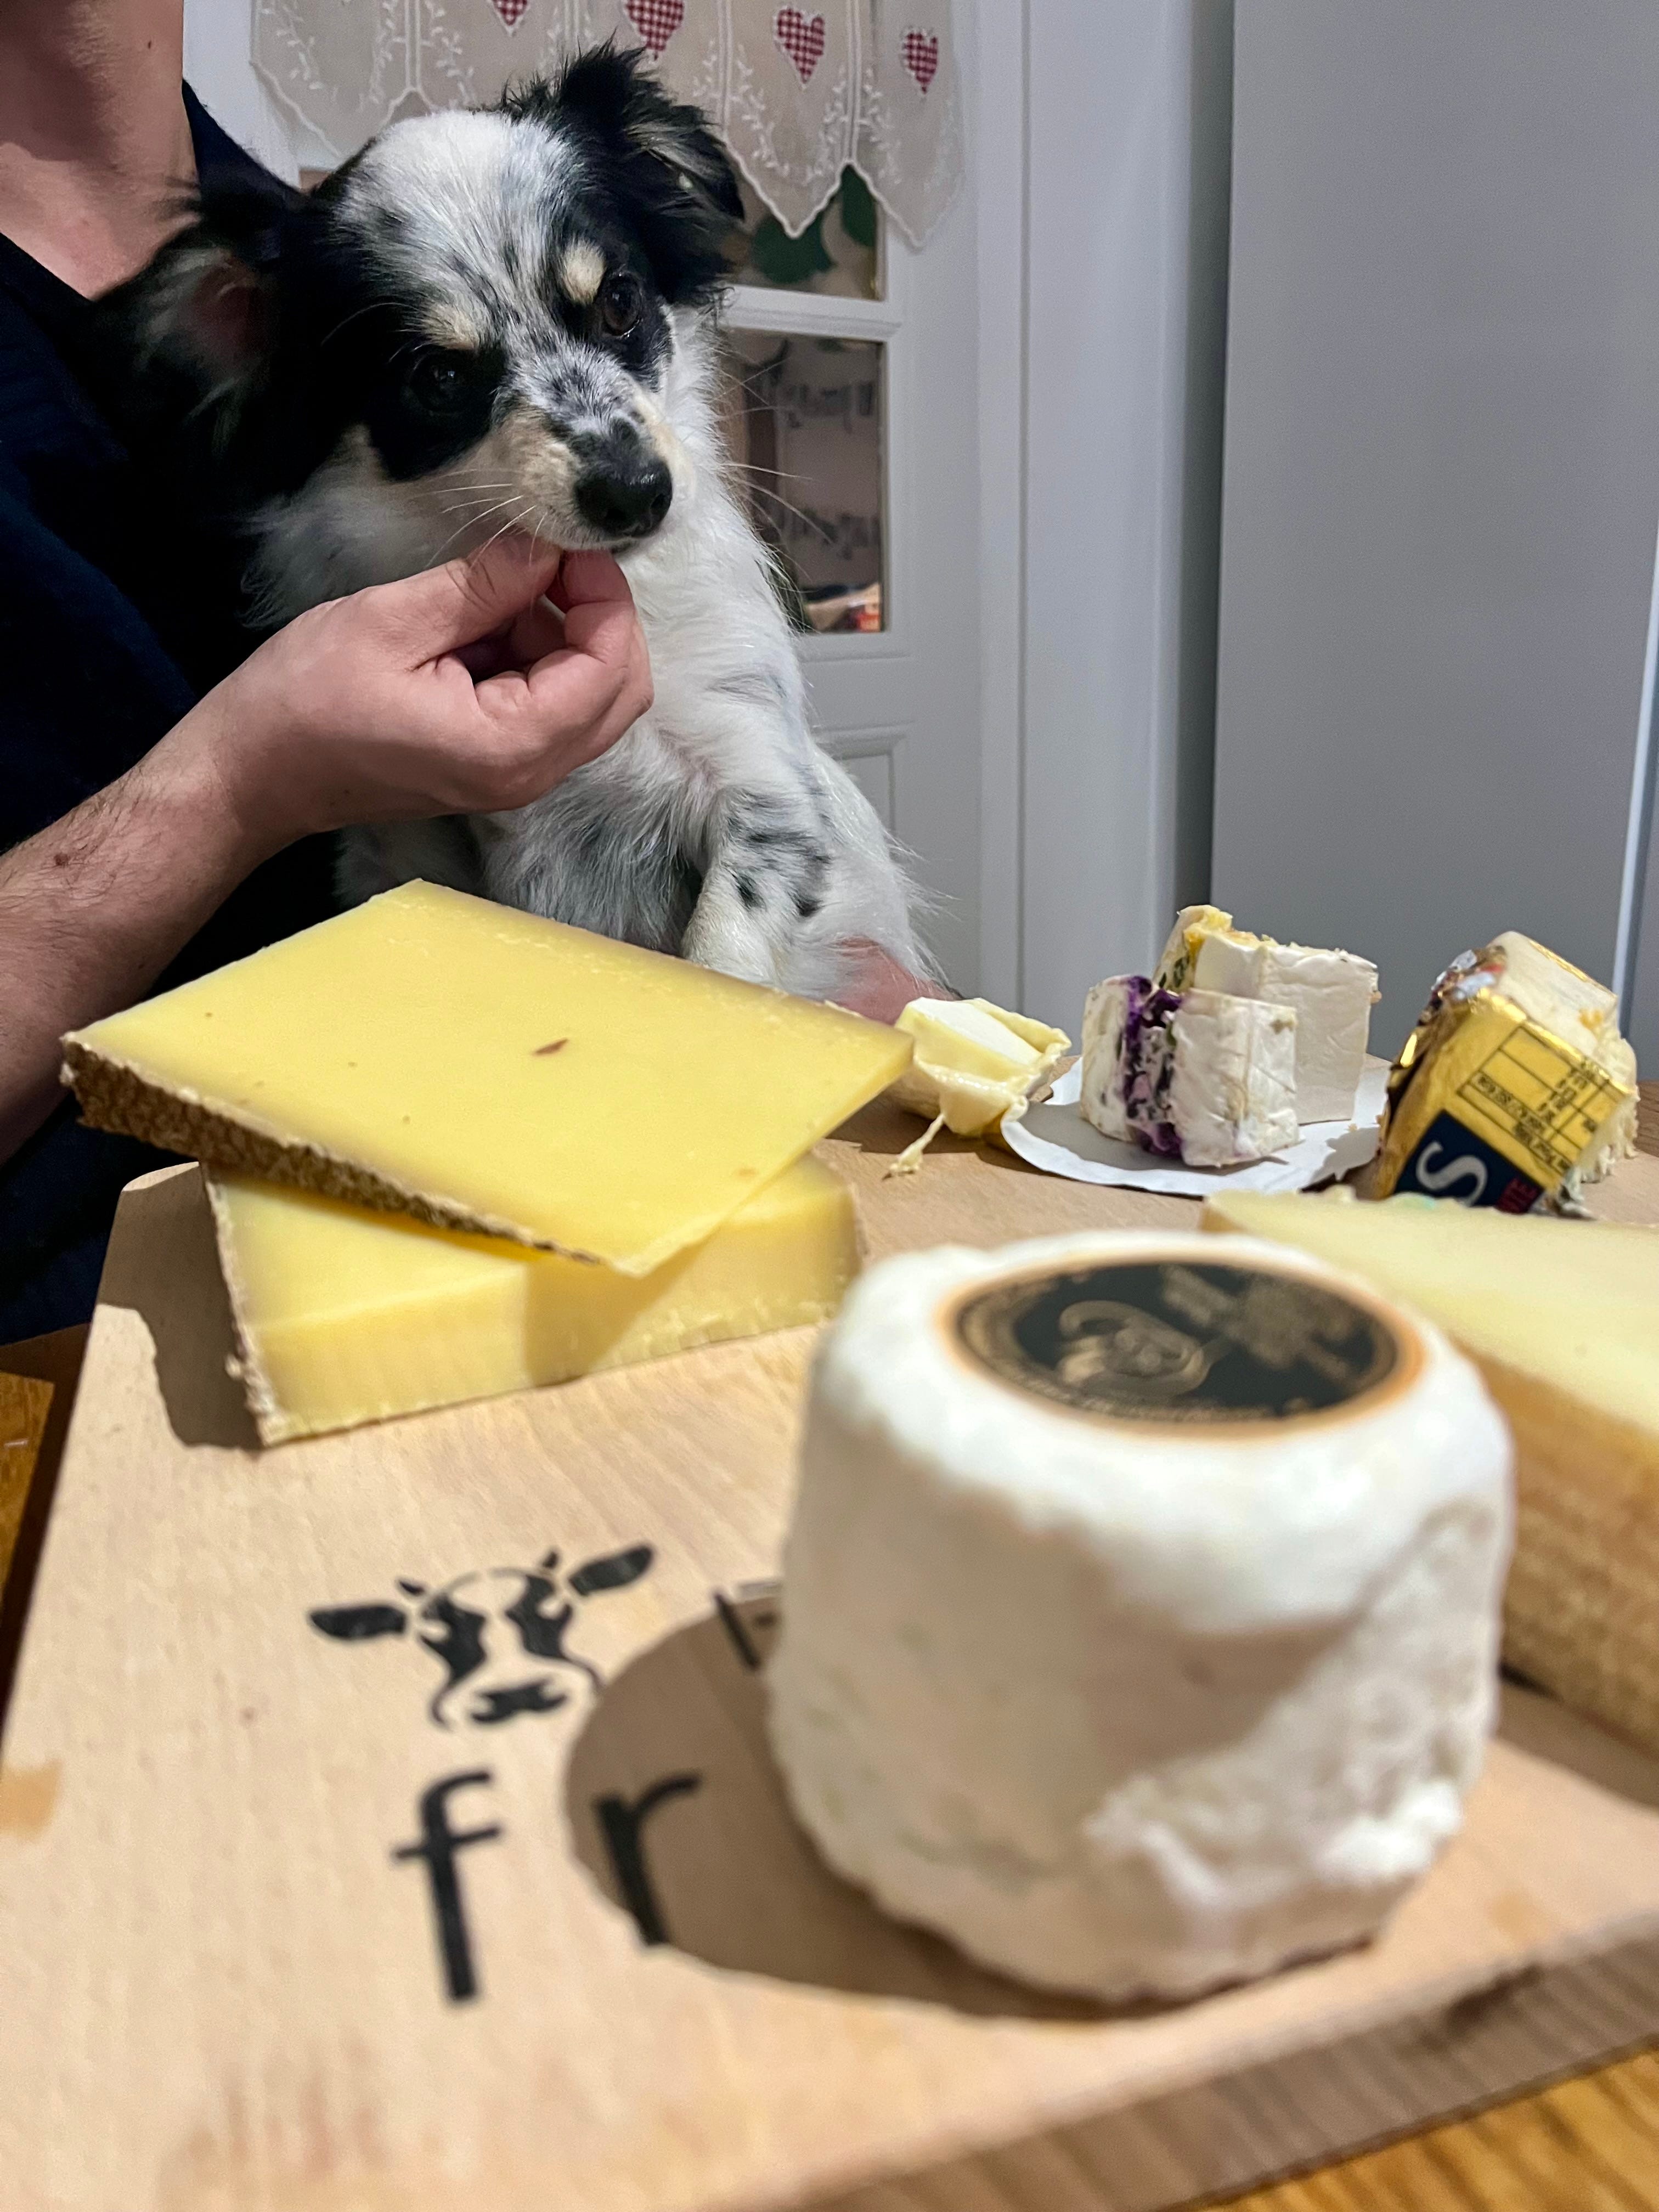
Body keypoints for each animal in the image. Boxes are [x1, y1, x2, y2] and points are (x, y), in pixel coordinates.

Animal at [99, 45, 928, 1002]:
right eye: (438, 378)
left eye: (619, 304)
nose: (637, 492)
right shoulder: (401, 847)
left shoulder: (761, 788)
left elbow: (723, 953)